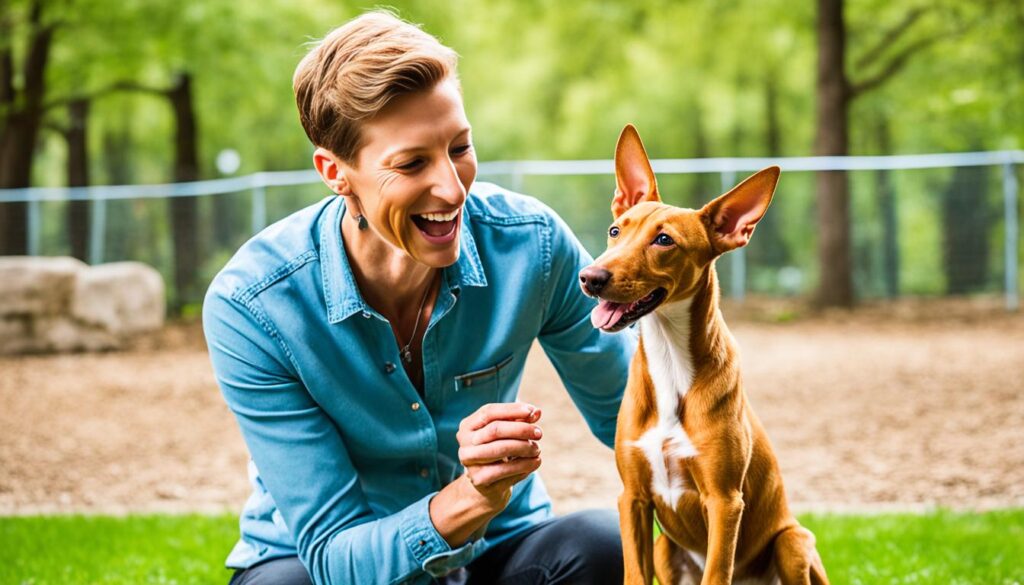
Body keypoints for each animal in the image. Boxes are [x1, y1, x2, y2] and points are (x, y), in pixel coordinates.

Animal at [581, 126, 827, 581]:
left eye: (664, 240)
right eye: (615, 231)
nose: (590, 277)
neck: (670, 361)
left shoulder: (724, 500)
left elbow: (718, 571)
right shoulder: (633, 497)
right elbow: (634, 573)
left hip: (794, 541)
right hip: (665, 547)